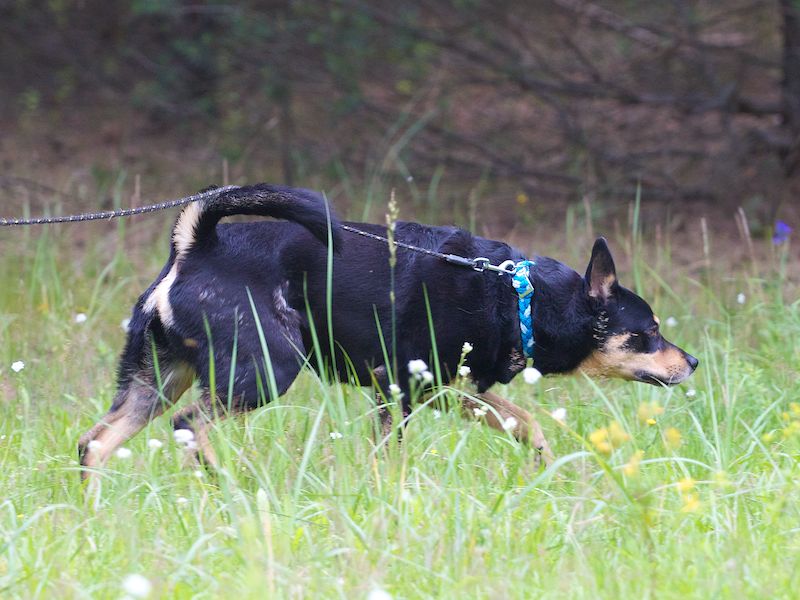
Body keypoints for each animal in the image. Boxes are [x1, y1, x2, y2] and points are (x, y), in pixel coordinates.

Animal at [78, 183, 698, 476]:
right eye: (649, 331)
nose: (691, 361)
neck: (518, 297)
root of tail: (194, 247)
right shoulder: (398, 387)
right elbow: (389, 456)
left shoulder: (450, 390)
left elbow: (528, 422)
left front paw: (546, 467)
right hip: (265, 371)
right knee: (189, 425)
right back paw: (219, 477)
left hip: (156, 381)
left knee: (96, 443)